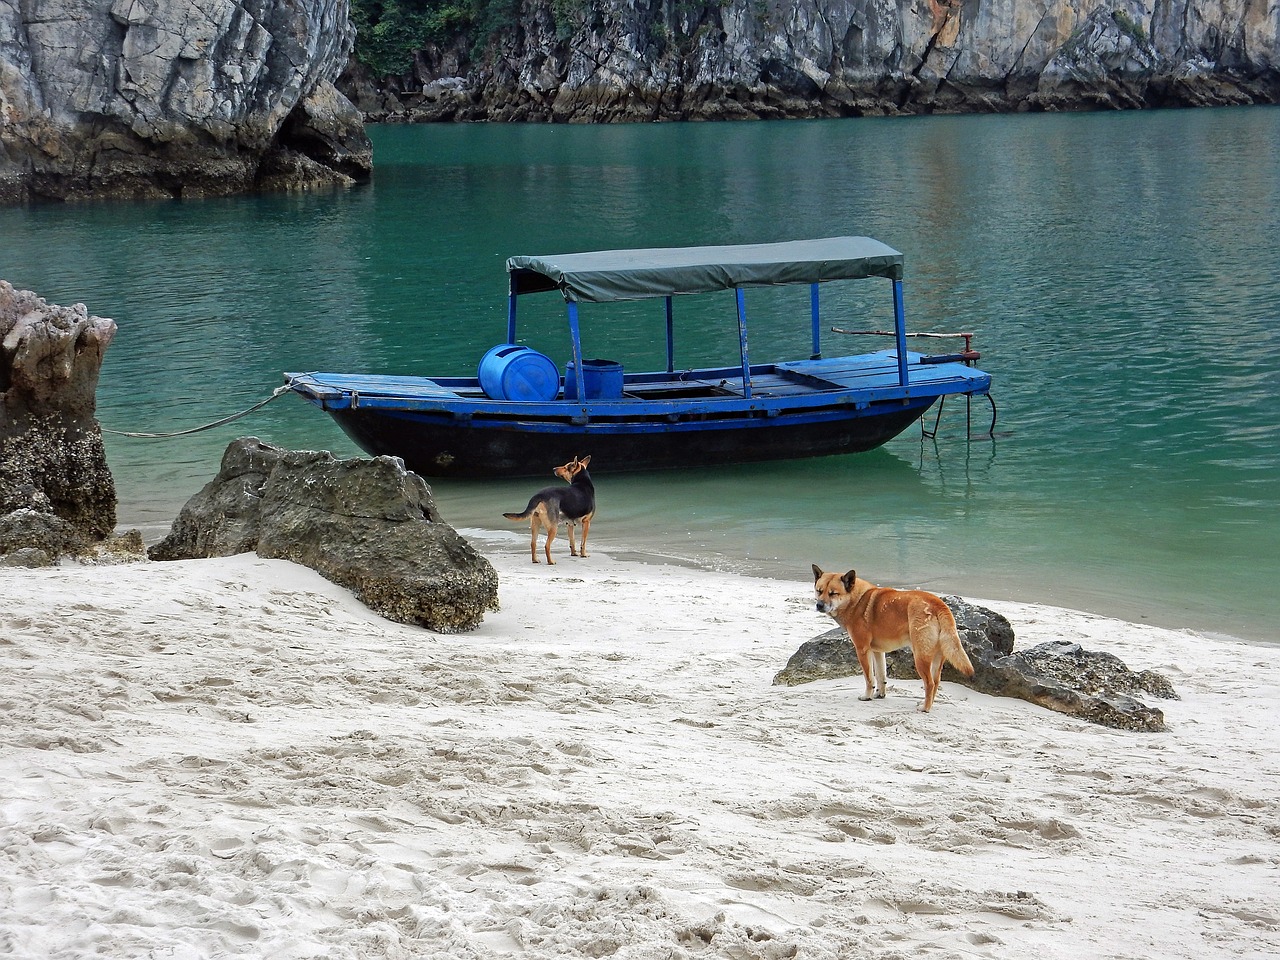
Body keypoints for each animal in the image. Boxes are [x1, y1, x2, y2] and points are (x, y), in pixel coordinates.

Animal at [814, 563, 972, 716]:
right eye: (819, 591)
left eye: (833, 593)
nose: (819, 605)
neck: (856, 600)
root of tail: (938, 603)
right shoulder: (877, 652)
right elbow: (880, 676)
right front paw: (880, 694)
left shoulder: (862, 650)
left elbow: (869, 678)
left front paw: (867, 696)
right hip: (937, 657)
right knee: (936, 682)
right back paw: (928, 704)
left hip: (920, 657)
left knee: (930, 684)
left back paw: (925, 708)